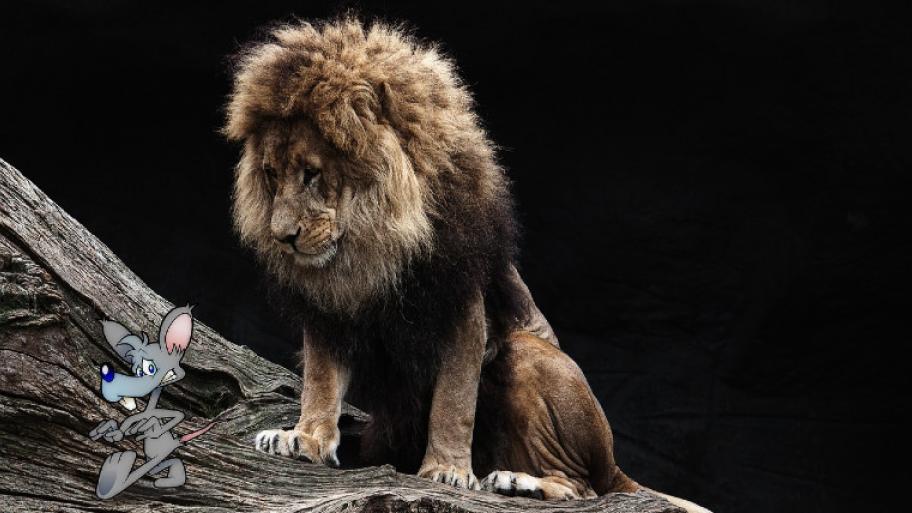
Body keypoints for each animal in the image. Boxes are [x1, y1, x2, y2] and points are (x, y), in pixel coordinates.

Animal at [224, 17, 710, 512]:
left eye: (312, 173)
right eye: (270, 175)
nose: (282, 236)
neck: (372, 248)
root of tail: (613, 462)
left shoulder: (461, 305)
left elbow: (454, 400)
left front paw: (447, 469)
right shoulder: (329, 312)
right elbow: (321, 379)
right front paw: (305, 438)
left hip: (528, 357)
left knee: (584, 487)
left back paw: (517, 481)